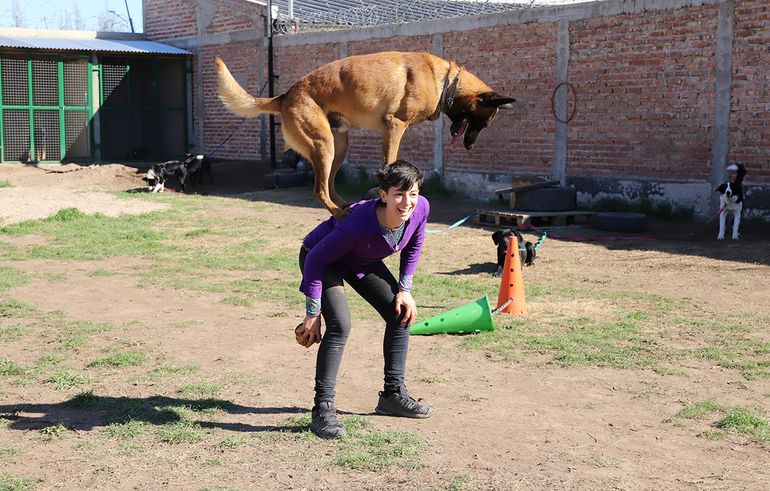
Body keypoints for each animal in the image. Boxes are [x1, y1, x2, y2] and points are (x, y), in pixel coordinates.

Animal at [213, 51, 512, 218]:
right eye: (483, 122)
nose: (470, 147)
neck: (445, 82)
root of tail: (285, 94)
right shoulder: (395, 125)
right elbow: (388, 161)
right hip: (323, 144)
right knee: (319, 189)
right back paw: (338, 213)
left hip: (339, 145)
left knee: (329, 184)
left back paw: (345, 205)